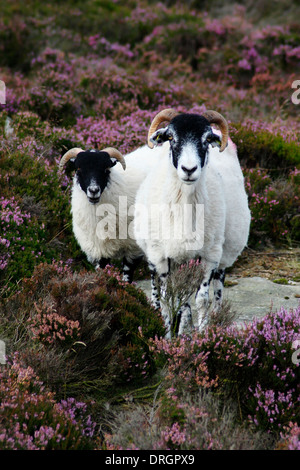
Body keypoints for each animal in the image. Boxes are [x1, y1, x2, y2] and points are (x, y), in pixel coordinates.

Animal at [59, 145, 161, 280]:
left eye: (106, 169)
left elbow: (127, 273)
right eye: (78, 169)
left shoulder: (133, 247)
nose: (93, 190)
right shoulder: (99, 248)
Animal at [134, 108, 251, 336]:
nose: (189, 169)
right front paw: (168, 336)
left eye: (206, 139)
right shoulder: (162, 256)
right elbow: (167, 298)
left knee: (216, 293)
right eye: (170, 137)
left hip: (221, 257)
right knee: (167, 295)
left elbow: (202, 300)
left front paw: (203, 335)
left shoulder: (209, 255)